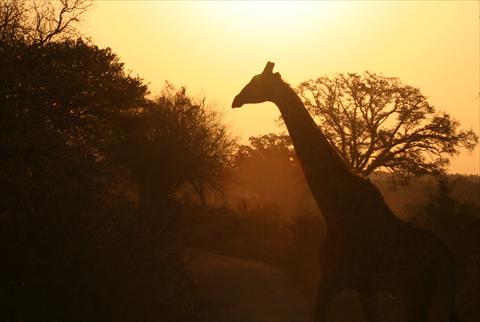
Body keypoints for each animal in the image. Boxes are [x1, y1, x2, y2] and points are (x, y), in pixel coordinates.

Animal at [232, 61, 462, 322]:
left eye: (256, 81)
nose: (236, 99)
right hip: (433, 297)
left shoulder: (333, 279)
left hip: (418, 295)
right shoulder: (362, 287)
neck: (334, 212)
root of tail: (449, 260)